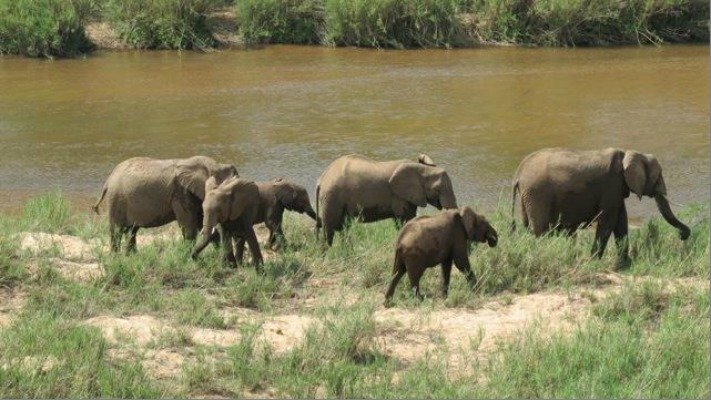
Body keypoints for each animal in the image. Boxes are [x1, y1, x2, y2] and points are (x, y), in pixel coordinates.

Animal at [93, 156, 239, 253]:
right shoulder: (180, 192)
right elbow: (190, 227)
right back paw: (116, 257)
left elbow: (200, 222)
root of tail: (108, 181)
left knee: (132, 231)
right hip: (116, 200)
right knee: (117, 231)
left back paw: (132, 256)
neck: (214, 164)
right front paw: (186, 257)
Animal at [316, 154, 456, 245]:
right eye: (437, 189)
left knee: (343, 226)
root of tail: (321, 179)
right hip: (332, 197)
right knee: (329, 228)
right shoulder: (398, 196)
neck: (421, 168)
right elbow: (404, 220)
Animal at [512, 147, 688, 266]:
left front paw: (625, 263)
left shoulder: (617, 190)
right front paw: (594, 262)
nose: (682, 236)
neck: (627, 154)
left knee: (528, 226)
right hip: (537, 194)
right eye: (658, 176)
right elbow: (608, 222)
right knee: (540, 230)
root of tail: (518, 173)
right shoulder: (612, 185)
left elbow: (621, 222)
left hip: (528, 196)